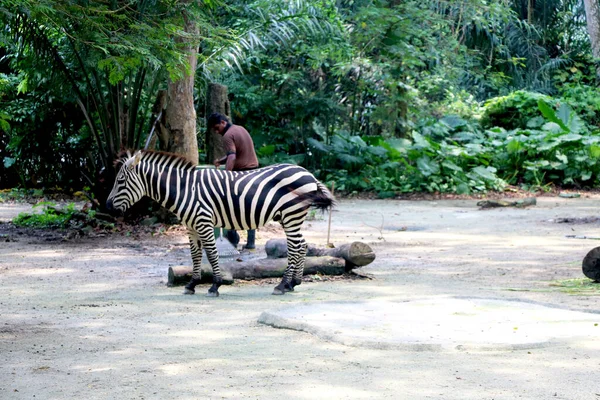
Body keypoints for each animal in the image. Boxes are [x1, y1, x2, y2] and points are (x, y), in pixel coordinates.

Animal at [106, 150, 336, 296]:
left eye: (120, 181)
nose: (107, 206)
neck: (185, 190)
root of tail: (308, 173)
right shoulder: (191, 227)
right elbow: (195, 255)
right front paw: (192, 284)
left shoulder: (204, 222)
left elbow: (211, 254)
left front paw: (214, 286)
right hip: (291, 216)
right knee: (302, 245)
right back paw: (293, 283)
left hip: (291, 215)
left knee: (296, 246)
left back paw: (282, 285)